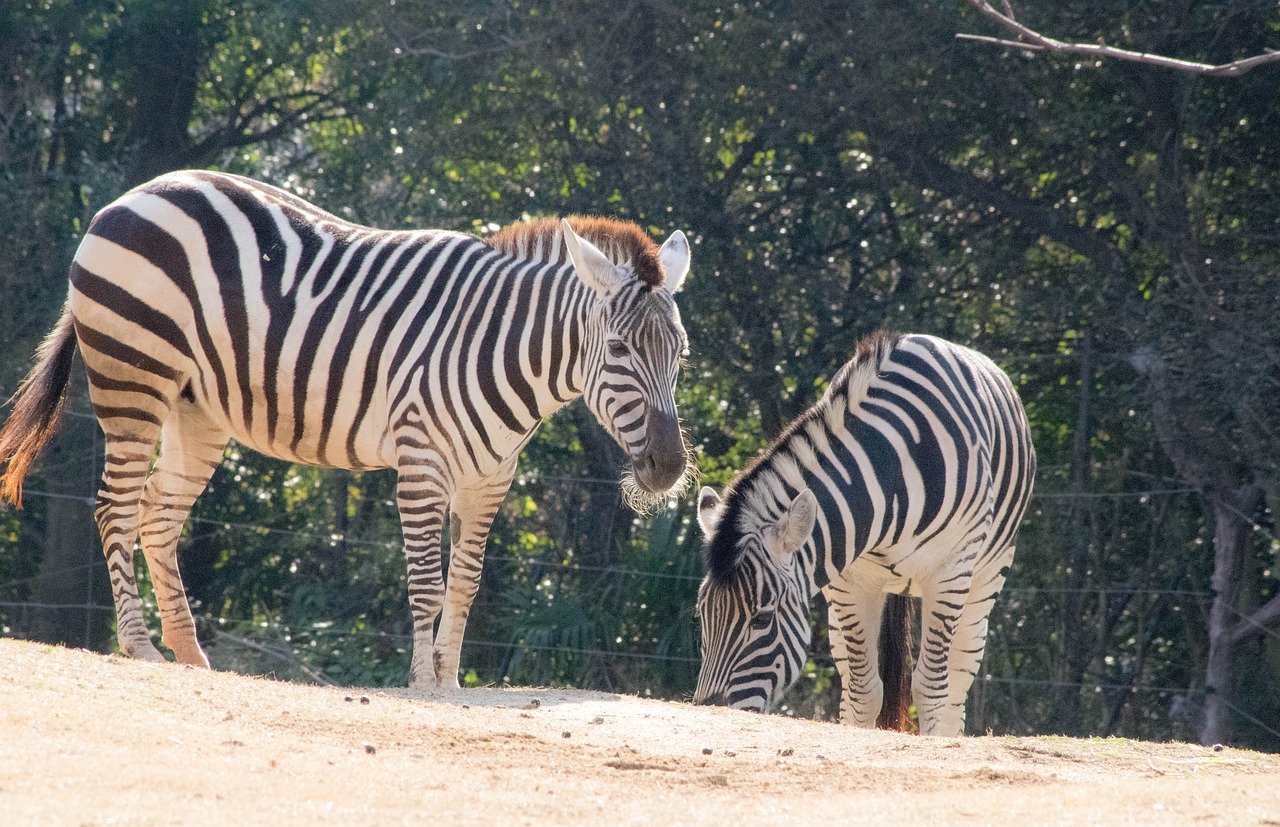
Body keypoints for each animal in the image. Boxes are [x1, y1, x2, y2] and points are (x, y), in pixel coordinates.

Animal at [0, 171, 696, 691]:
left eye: (682, 354)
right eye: (618, 350)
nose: (667, 467)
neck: (499, 349)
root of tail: (133, 194)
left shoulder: (491, 478)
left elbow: (465, 585)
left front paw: (450, 682)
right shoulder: (421, 461)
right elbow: (425, 583)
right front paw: (422, 684)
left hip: (196, 410)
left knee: (156, 511)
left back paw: (190, 654)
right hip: (134, 377)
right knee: (114, 506)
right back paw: (139, 646)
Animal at [696, 332, 1034, 737]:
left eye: (761, 619)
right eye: (701, 615)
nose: (707, 714)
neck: (891, 470)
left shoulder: (949, 573)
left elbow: (931, 688)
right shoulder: (849, 581)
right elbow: (863, 690)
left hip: (985, 577)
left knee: (958, 678)